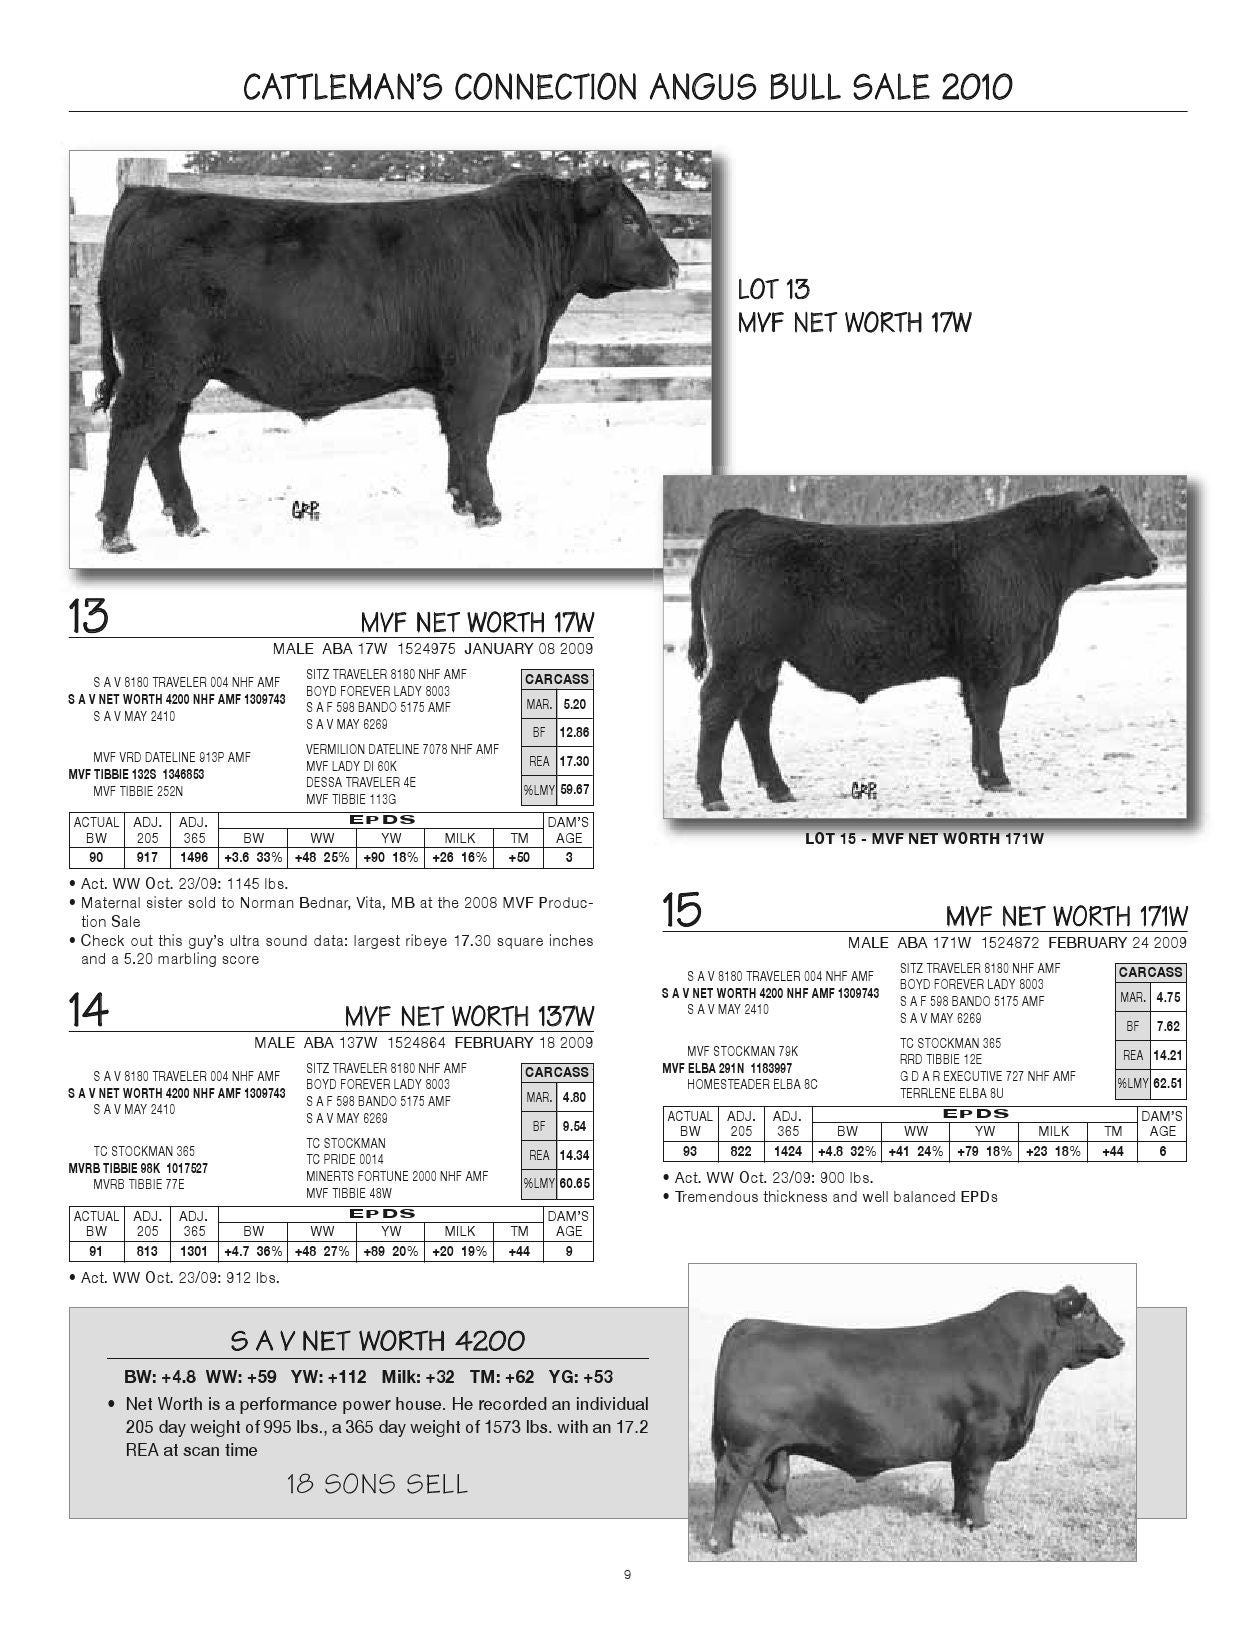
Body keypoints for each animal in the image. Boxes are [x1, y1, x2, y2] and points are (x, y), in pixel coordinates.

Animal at [91, 168, 679, 551]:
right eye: (631, 220)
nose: (674, 269)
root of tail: (144, 196)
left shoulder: (452, 379)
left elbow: (456, 439)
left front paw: (461, 502)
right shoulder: (483, 371)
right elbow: (476, 438)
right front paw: (489, 513)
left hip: (182, 374)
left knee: (164, 440)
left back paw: (189, 524)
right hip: (159, 365)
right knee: (133, 435)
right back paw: (117, 534)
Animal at [686, 489, 1160, 809]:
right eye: (1119, 524)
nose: (1154, 560)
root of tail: (747, 516)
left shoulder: (973, 668)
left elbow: (976, 719)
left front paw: (982, 775)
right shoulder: (995, 661)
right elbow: (992, 718)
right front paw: (999, 778)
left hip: (765, 662)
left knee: (755, 717)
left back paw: (779, 789)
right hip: (739, 657)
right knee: (717, 711)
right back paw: (713, 795)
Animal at [708, 1285, 1124, 1553]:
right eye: (1090, 1314)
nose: (1120, 1341)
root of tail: (751, 1324)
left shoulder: (964, 1443)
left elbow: (960, 1480)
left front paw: (959, 1518)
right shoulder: (985, 1434)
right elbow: (976, 1481)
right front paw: (979, 1524)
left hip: (775, 1446)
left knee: (771, 1486)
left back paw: (793, 1533)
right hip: (748, 1444)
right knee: (731, 1480)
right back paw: (720, 1544)